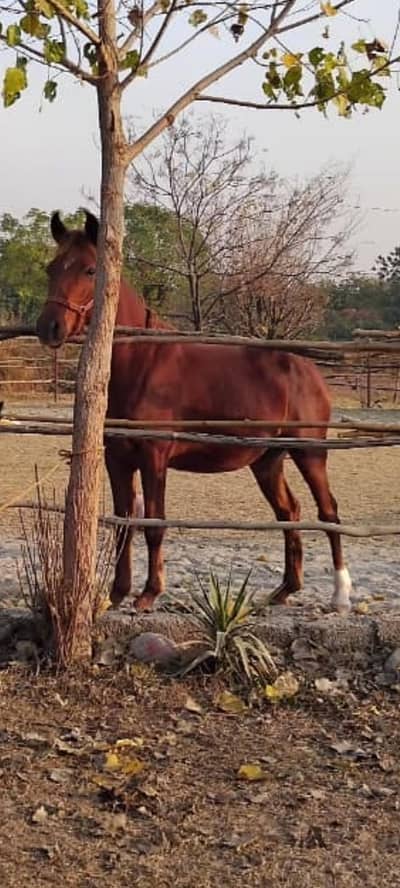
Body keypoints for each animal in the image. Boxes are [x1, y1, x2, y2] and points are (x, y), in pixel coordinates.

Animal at [36, 210, 352, 614]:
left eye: (91, 270)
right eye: (51, 268)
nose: (49, 327)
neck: (142, 363)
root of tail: (308, 368)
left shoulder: (154, 456)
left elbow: (154, 523)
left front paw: (149, 593)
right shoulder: (117, 459)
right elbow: (124, 522)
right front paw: (116, 593)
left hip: (310, 453)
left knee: (328, 512)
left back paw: (340, 594)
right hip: (268, 460)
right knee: (289, 512)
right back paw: (285, 589)